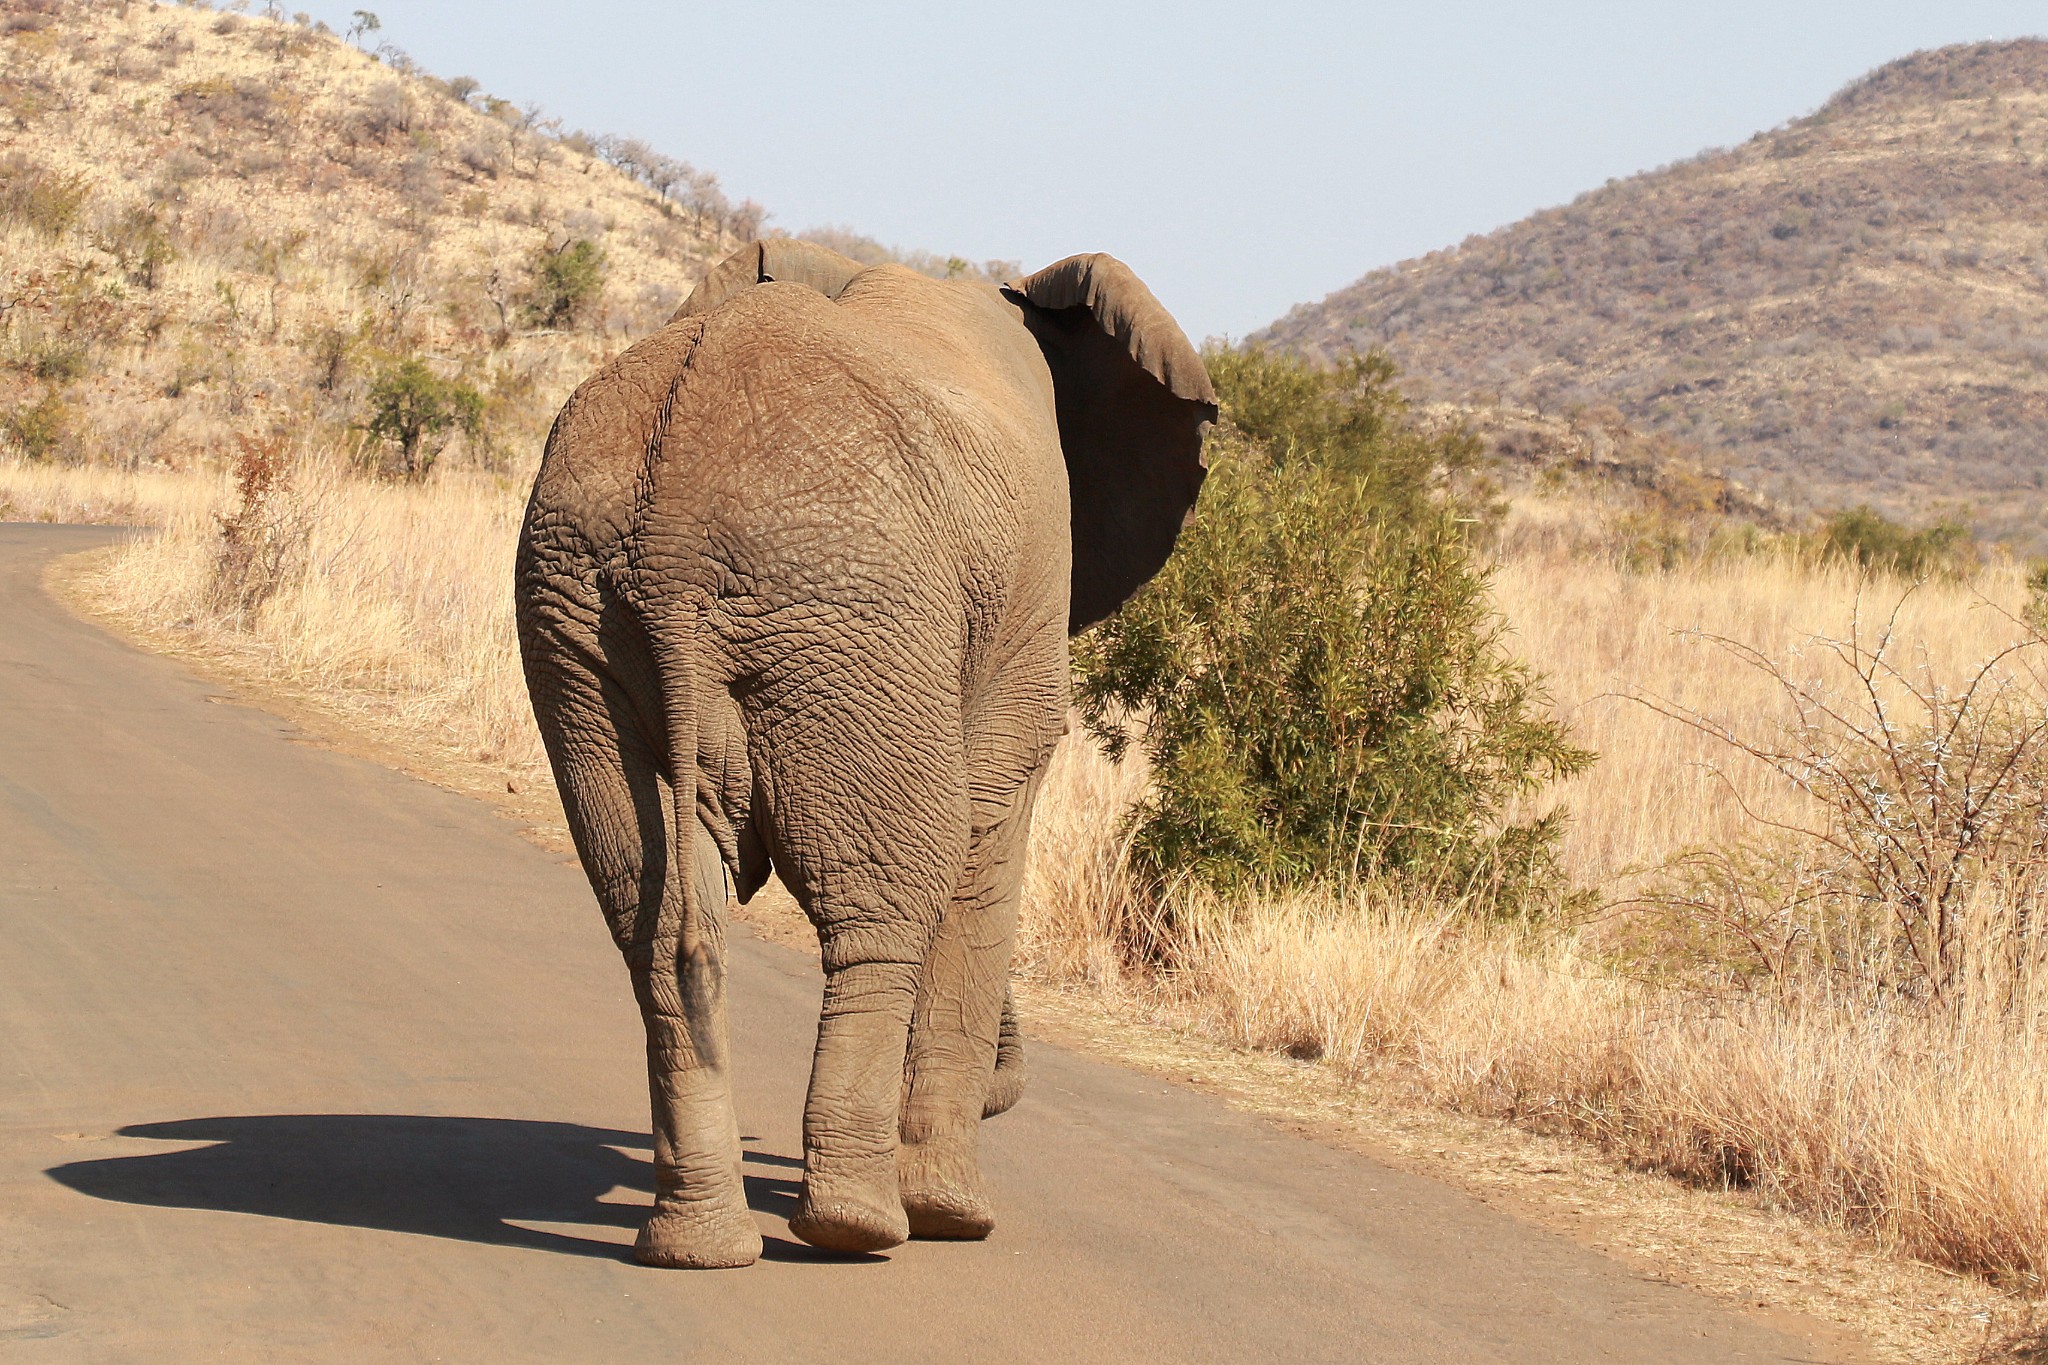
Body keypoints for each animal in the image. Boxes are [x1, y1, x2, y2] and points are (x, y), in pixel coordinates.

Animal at [516, 237, 1212, 1268]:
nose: (1008, 1086)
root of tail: (673, 530)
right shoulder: (1031, 590)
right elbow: (988, 831)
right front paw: (957, 1220)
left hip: (578, 620)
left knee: (653, 913)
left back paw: (696, 1246)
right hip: (844, 618)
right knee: (887, 900)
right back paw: (859, 1228)